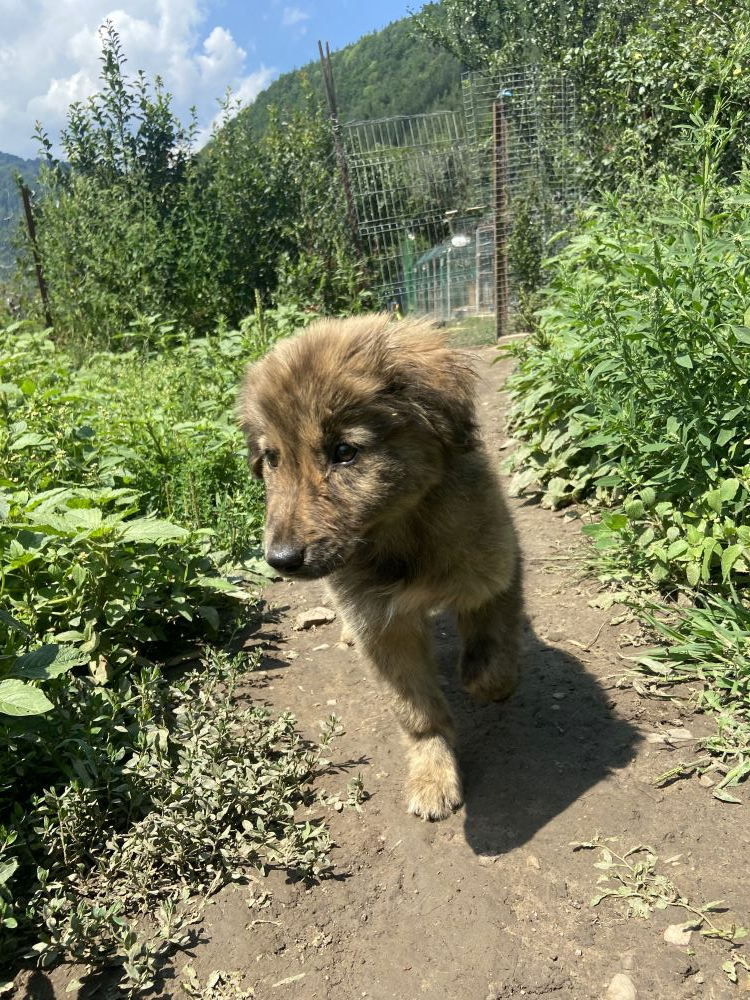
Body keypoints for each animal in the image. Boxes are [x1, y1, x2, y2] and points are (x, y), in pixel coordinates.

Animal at [241, 314, 524, 820]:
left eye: (345, 451)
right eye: (272, 459)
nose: (280, 561)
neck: (401, 537)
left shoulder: (496, 571)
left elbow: (489, 662)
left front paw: (490, 684)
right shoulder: (382, 627)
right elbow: (417, 712)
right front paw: (433, 773)